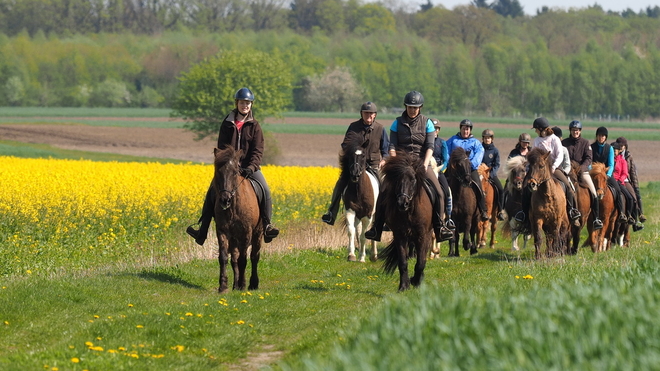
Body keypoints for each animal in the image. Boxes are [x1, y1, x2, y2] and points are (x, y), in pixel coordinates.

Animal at [213, 145, 262, 294]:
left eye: (235, 172)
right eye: (218, 171)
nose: (225, 200)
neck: (233, 209)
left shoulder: (246, 233)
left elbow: (243, 260)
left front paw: (242, 285)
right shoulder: (222, 231)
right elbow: (224, 257)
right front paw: (223, 286)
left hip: (258, 234)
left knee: (254, 257)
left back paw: (252, 283)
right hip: (234, 240)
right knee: (234, 259)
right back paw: (235, 285)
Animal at [378, 153, 436, 292]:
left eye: (413, 180)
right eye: (397, 180)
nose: (402, 203)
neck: (409, 211)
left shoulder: (422, 235)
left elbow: (420, 262)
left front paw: (416, 281)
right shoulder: (400, 235)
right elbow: (403, 262)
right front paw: (404, 285)